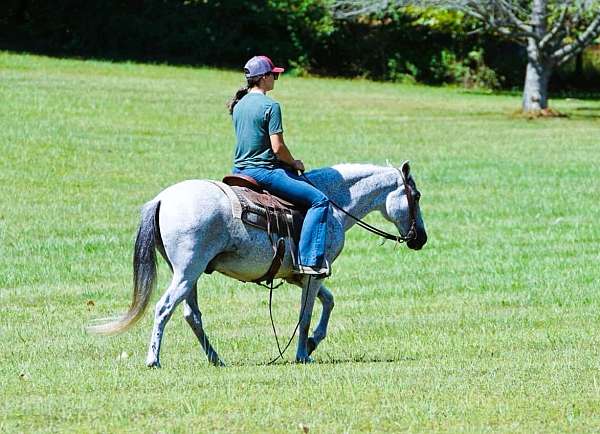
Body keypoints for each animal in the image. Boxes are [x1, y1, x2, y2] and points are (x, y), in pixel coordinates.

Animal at [88, 161, 426, 364]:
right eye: (418, 195)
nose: (420, 238)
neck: (332, 203)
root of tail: (163, 199)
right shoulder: (314, 273)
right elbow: (305, 315)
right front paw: (303, 353)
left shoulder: (303, 276)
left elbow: (328, 302)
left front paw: (312, 343)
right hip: (187, 272)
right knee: (164, 308)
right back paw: (154, 360)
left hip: (187, 275)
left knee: (191, 315)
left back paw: (216, 359)